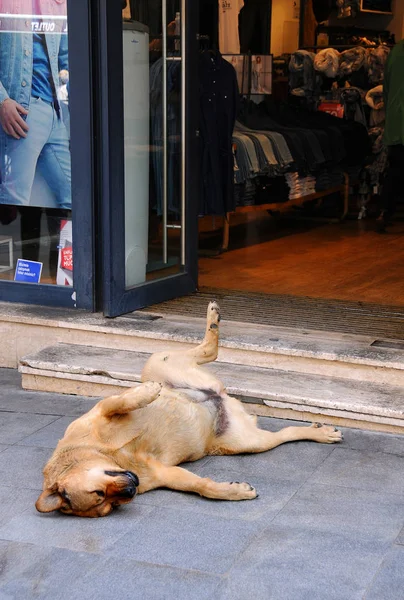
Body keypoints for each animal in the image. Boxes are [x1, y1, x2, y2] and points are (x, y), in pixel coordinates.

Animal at [36, 302, 342, 516]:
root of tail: (220, 396)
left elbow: (119, 402)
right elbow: (199, 486)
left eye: (98, 493)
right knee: (284, 434)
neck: (109, 455)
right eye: (108, 504)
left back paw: (211, 322)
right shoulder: (165, 473)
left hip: (156, 362)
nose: (133, 488)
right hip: (248, 442)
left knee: (206, 351)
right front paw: (231, 492)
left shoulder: (100, 413)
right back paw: (320, 432)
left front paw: (147, 394)